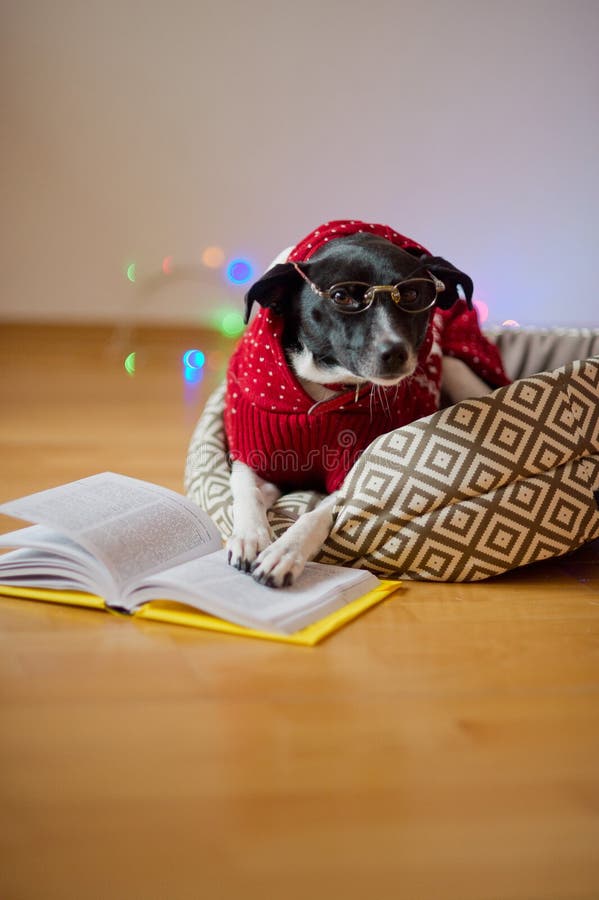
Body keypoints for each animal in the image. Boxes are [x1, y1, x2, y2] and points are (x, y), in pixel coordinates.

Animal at [225, 217, 510, 584]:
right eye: (341, 296)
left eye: (413, 293)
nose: (395, 352)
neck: (325, 393)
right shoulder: (255, 453)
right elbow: (245, 486)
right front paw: (250, 535)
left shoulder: (349, 470)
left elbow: (318, 512)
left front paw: (285, 551)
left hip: (458, 370)